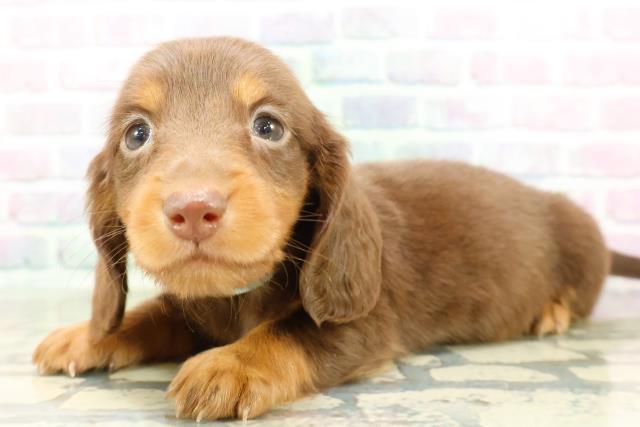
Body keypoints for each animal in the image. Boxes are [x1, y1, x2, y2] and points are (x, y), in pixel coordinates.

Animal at [33, 37, 640, 421]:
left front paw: (231, 363)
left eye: (268, 126)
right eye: (137, 134)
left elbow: (291, 330)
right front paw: (91, 334)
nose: (193, 210)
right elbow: (152, 314)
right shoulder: (192, 306)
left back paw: (552, 311)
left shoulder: (366, 323)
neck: (238, 297)